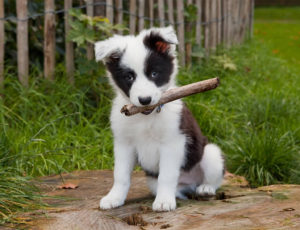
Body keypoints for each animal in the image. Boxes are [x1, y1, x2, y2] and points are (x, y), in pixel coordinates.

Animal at [95, 26, 224, 211]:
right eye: (129, 77)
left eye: (154, 74)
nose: (145, 100)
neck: (145, 117)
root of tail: (190, 183)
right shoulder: (123, 144)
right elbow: (120, 175)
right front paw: (114, 198)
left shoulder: (172, 142)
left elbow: (167, 175)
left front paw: (164, 201)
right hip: (151, 180)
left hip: (211, 153)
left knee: (214, 179)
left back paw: (205, 188)